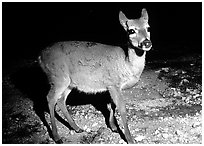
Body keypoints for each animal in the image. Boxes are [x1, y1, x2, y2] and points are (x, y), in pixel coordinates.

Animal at [38, 8, 151, 144]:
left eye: (148, 28)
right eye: (132, 30)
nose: (147, 42)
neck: (126, 63)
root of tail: (40, 57)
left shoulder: (112, 86)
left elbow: (113, 105)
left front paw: (113, 126)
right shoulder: (113, 83)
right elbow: (122, 108)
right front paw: (130, 139)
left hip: (69, 83)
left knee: (60, 100)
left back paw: (76, 128)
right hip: (58, 77)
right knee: (50, 98)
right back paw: (56, 136)